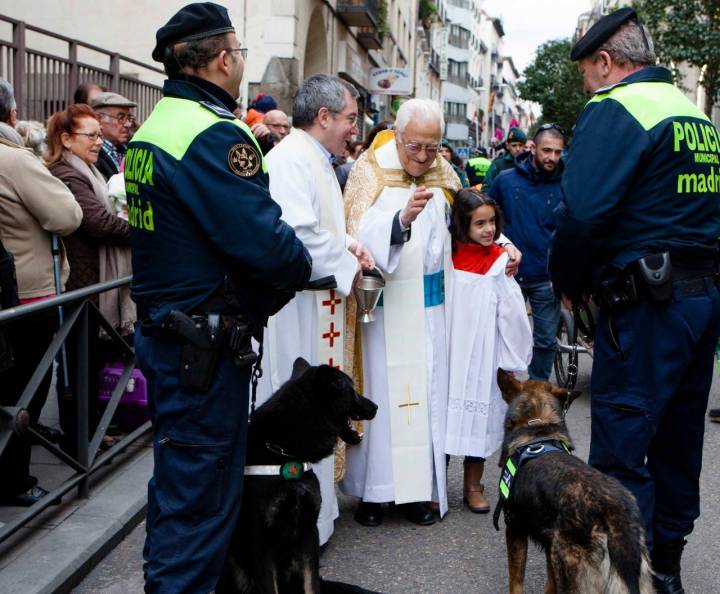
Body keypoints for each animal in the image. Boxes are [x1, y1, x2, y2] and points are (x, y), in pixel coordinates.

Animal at [218, 356, 376, 592]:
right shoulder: (263, 544)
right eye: (351, 390)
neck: (283, 454)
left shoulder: (309, 534)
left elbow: (311, 585)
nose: (376, 407)